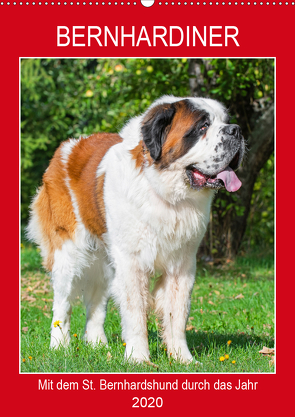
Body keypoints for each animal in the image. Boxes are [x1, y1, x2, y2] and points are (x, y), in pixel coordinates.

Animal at [27, 96, 245, 362]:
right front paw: (138, 358)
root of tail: (65, 148)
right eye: (202, 127)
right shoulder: (131, 264)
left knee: (97, 303)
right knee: (62, 303)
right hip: (68, 253)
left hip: (105, 260)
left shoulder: (182, 265)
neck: (165, 194)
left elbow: (177, 314)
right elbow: (135, 311)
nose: (236, 130)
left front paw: (183, 358)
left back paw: (97, 344)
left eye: (225, 121)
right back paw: (59, 346)